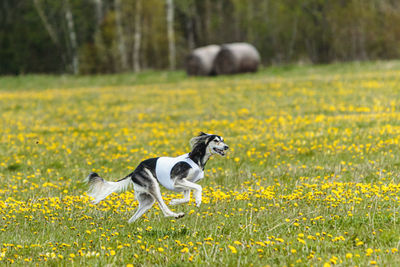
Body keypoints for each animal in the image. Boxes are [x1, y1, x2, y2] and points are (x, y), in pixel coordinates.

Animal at [85, 132, 228, 224]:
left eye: (222, 140)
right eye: (216, 140)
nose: (227, 147)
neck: (195, 159)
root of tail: (134, 171)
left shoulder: (185, 183)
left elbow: (187, 197)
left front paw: (175, 201)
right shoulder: (178, 180)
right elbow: (198, 187)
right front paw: (198, 200)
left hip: (147, 200)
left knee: (133, 218)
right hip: (153, 184)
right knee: (163, 208)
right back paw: (176, 215)